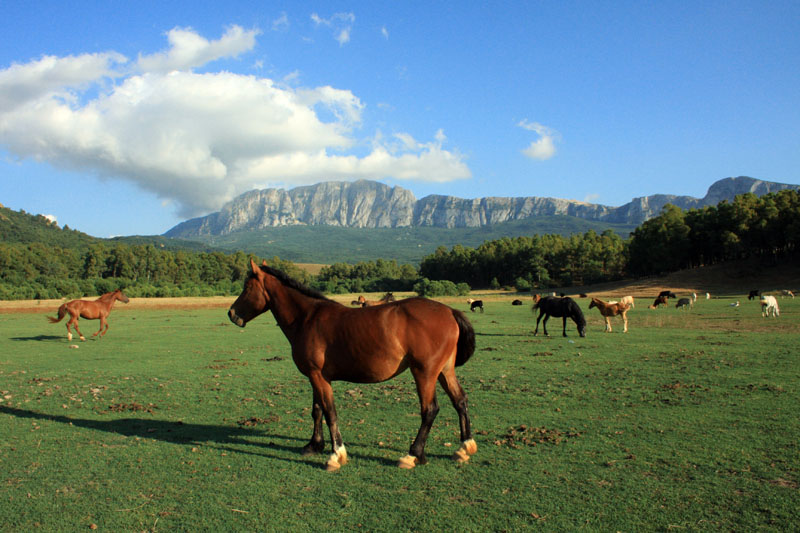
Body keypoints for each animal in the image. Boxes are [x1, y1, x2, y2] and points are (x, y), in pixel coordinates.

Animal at [228, 260, 477, 471]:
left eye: (247, 287)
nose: (231, 314)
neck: (307, 318)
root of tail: (450, 311)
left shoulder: (318, 376)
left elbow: (330, 411)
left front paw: (335, 455)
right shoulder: (315, 376)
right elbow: (317, 410)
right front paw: (314, 445)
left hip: (424, 373)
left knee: (429, 410)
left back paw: (413, 454)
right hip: (444, 371)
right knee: (460, 401)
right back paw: (464, 447)